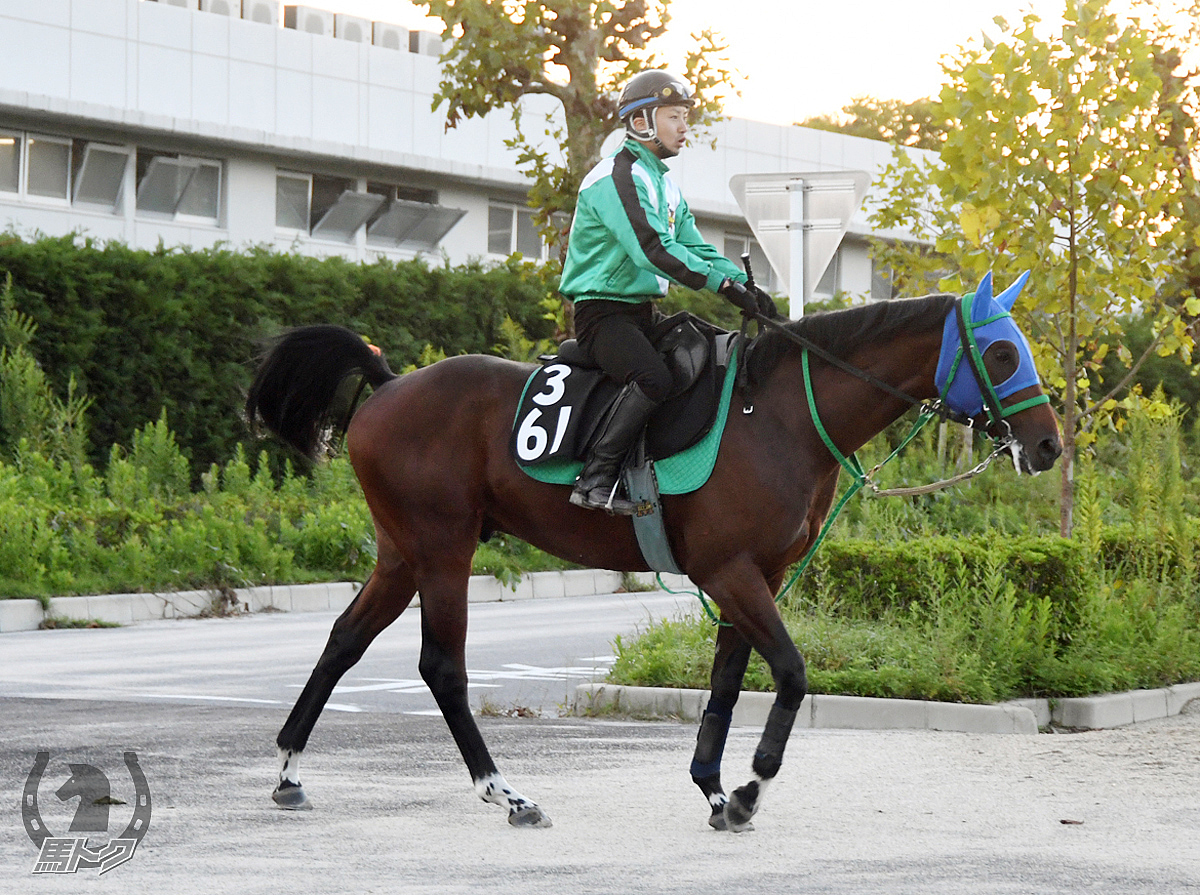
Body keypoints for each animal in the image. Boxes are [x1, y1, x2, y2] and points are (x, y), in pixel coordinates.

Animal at [243, 272, 1060, 830]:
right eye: (1000, 351)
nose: (1049, 444)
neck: (781, 416)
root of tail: (389, 383)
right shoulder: (730, 572)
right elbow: (792, 674)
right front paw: (751, 785)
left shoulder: (755, 576)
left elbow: (727, 683)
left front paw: (715, 787)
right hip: (442, 550)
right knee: (441, 666)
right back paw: (506, 792)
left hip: (403, 552)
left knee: (344, 638)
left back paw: (288, 772)